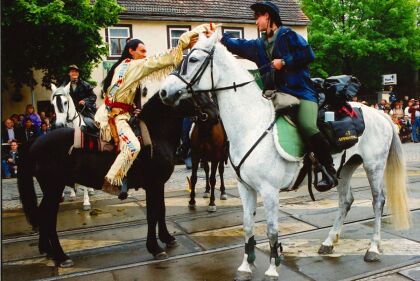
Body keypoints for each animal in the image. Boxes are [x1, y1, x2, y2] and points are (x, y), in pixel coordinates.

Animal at [18, 92, 218, 266]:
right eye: (195, 92)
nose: (215, 114)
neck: (155, 134)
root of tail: (35, 141)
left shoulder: (159, 184)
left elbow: (161, 210)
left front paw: (167, 238)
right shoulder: (153, 184)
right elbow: (152, 214)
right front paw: (154, 248)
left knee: (43, 215)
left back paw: (47, 250)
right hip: (54, 188)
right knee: (48, 217)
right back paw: (61, 256)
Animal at [160, 33, 410, 280]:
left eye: (193, 60)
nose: (163, 91)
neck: (251, 123)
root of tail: (380, 114)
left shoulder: (269, 191)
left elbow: (272, 230)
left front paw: (272, 268)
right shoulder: (245, 188)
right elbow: (248, 226)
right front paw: (246, 266)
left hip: (374, 166)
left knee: (378, 202)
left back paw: (373, 248)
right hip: (345, 167)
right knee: (345, 201)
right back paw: (329, 242)